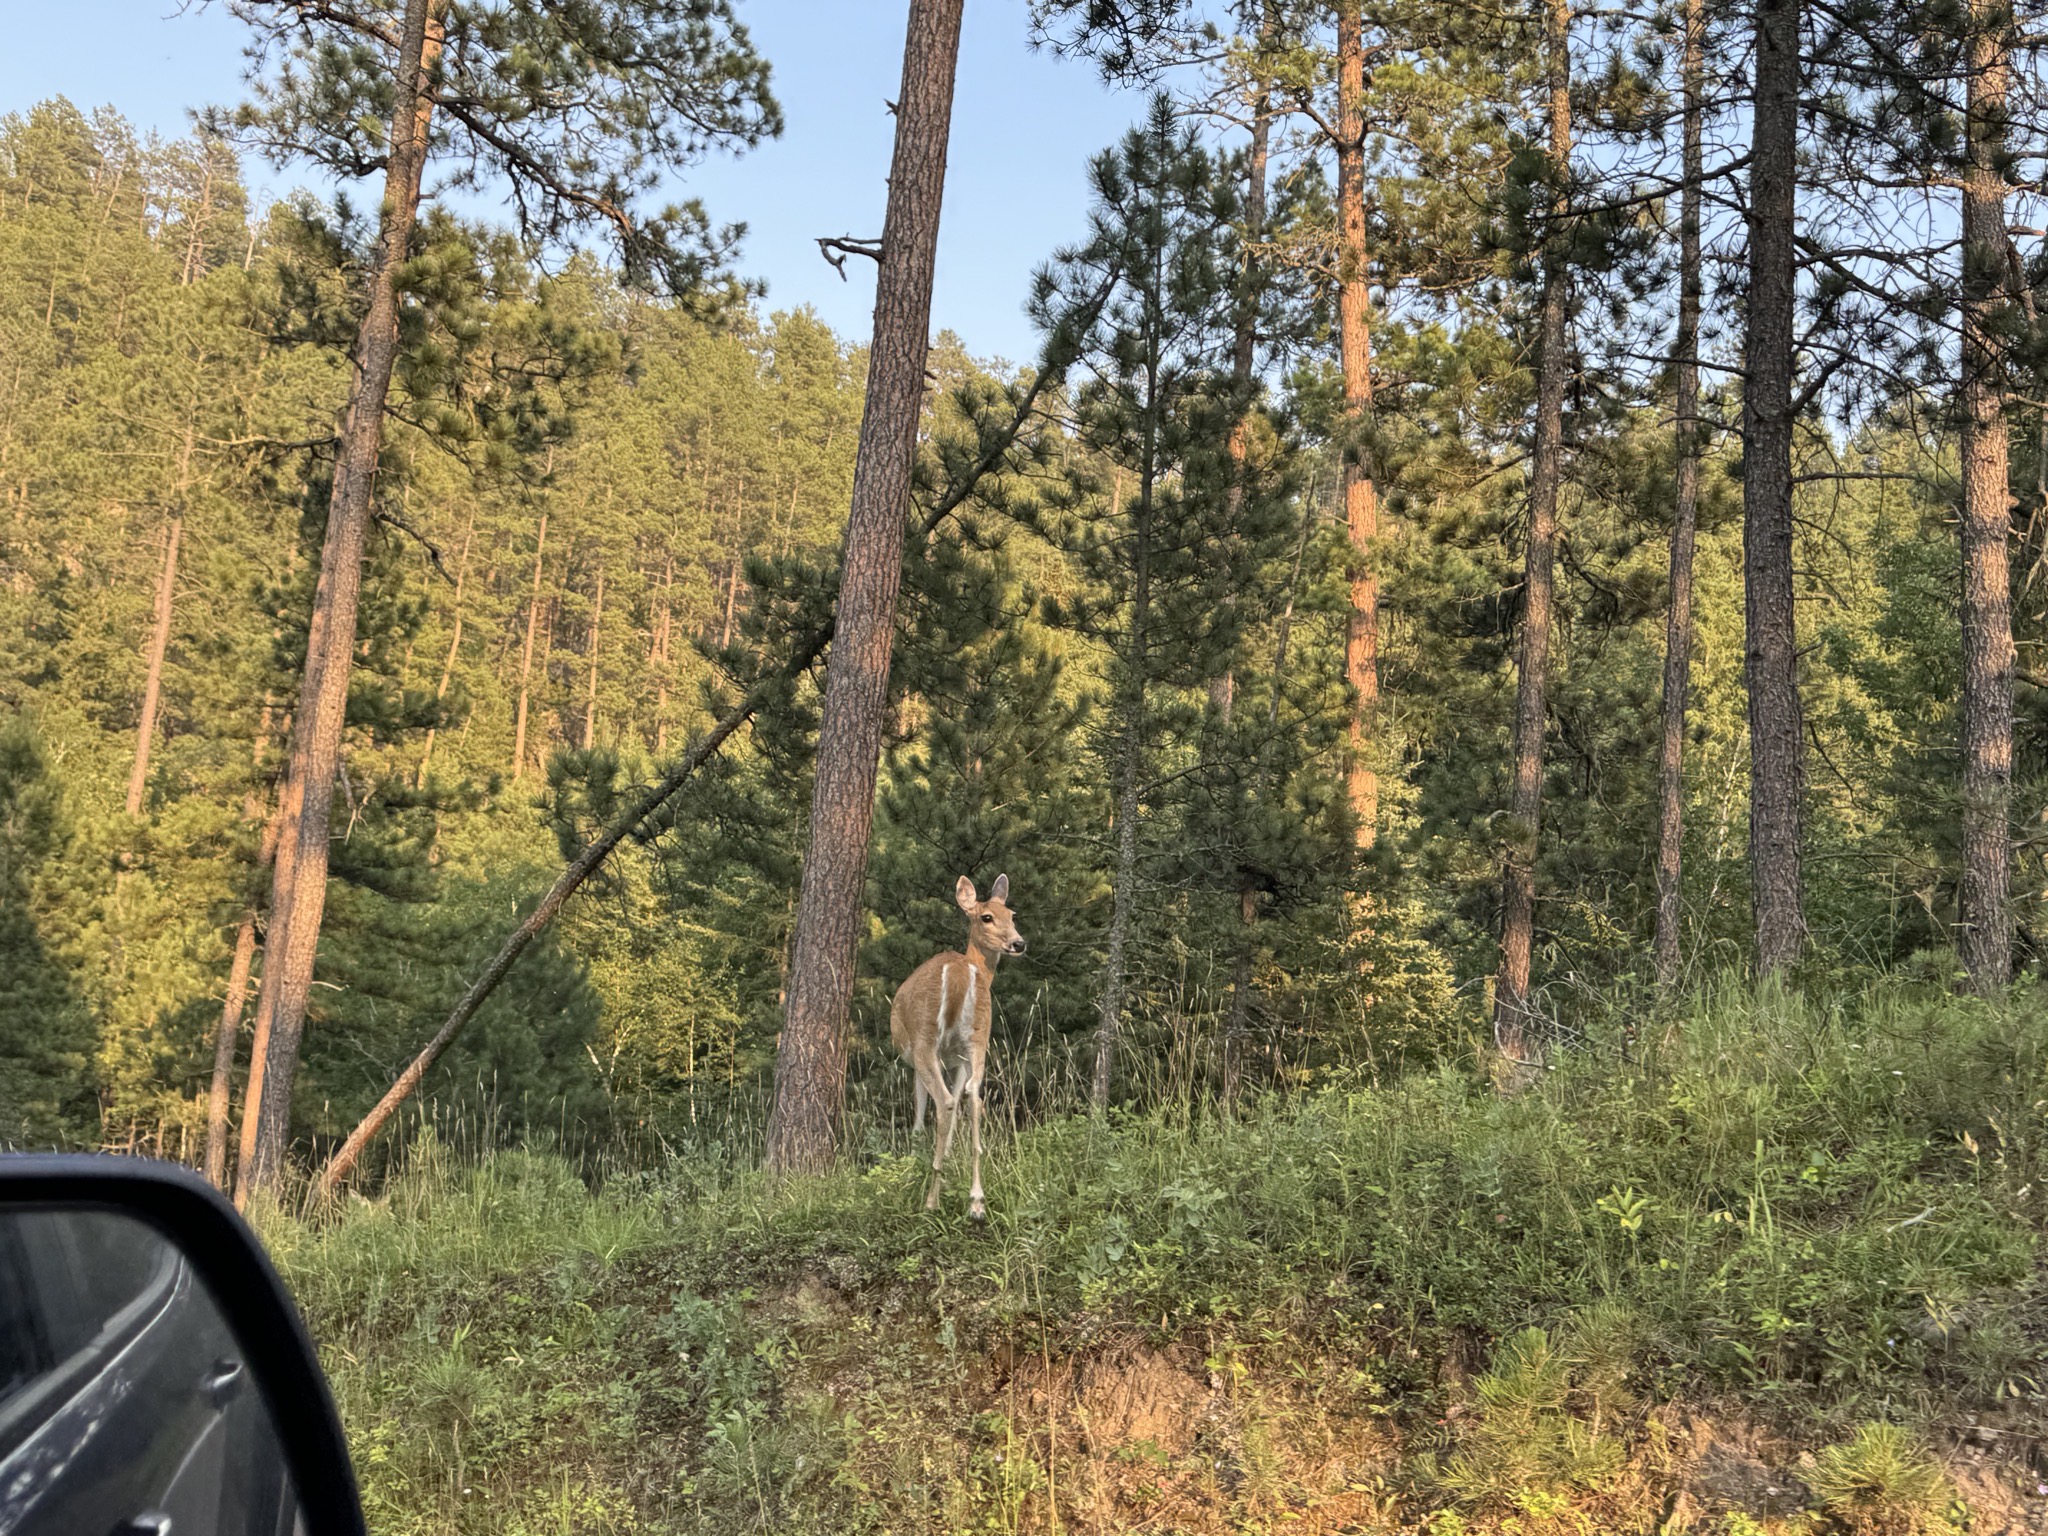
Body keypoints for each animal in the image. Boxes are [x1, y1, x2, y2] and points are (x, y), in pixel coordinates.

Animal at [890, 873, 1025, 1221]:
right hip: (979, 1036)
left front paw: (918, 1162)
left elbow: (920, 1115)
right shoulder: (959, 1059)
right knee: (974, 1095)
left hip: (925, 1039)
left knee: (946, 1101)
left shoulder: (919, 1059)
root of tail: (960, 971)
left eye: (1011, 915)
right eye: (988, 916)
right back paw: (976, 1201)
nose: (1018, 943)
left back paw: (931, 1200)